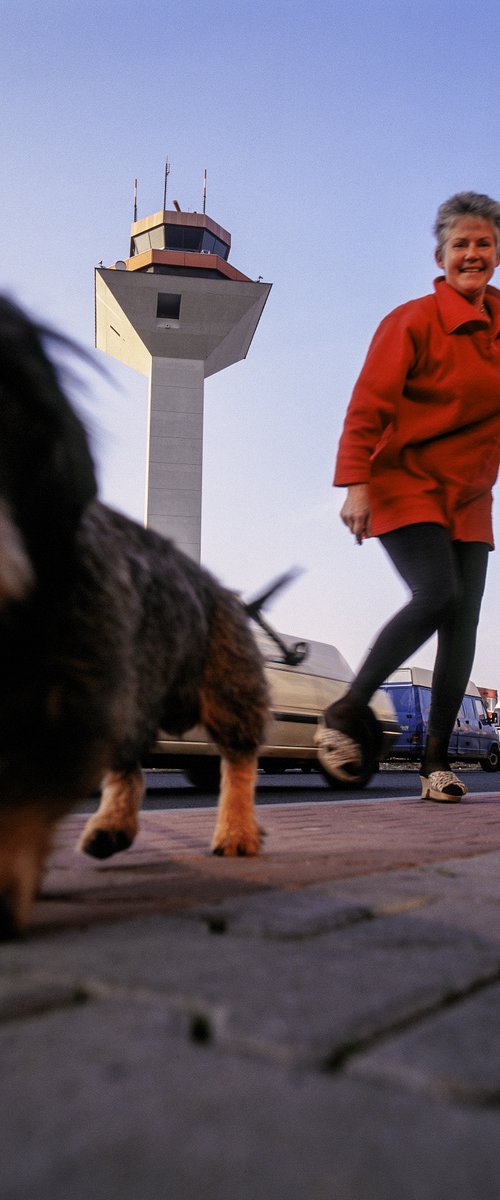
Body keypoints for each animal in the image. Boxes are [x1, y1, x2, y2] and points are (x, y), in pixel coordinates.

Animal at [0, 297, 268, 936]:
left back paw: (237, 829)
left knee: (240, 761)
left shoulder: (64, 700)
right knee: (130, 770)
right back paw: (110, 828)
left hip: (226, 687)